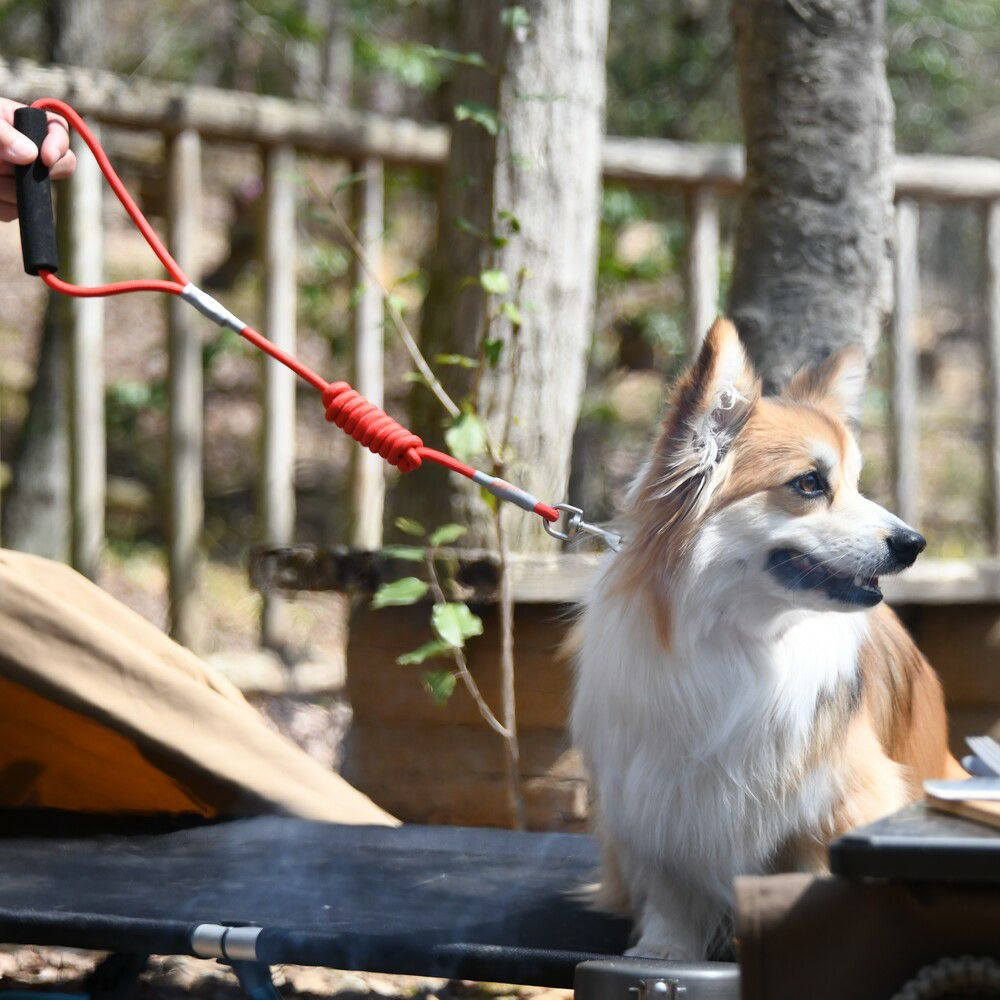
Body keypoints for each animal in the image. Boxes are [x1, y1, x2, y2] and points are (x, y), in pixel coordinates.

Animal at [571, 317, 960, 960]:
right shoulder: (655, 801)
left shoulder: (843, 804)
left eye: (857, 484)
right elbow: (673, 889)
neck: (746, 639)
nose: (915, 543)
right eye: (809, 483)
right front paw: (665, 949)